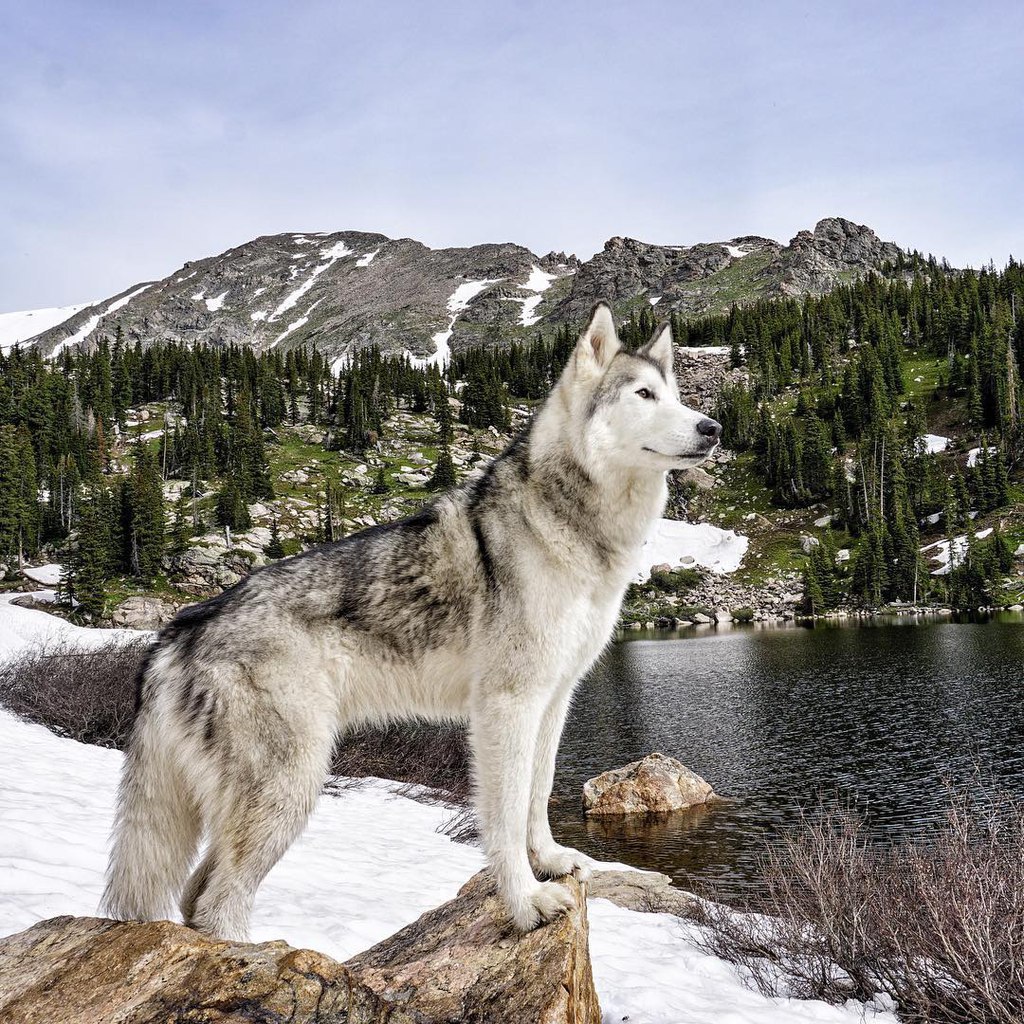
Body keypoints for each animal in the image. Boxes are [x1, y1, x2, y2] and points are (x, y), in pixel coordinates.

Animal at [101, 299, 720, 937]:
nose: (713, 428)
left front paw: (549, 860)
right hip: (291, 786)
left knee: (196, 894)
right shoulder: (507, 704)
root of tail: (179, 629)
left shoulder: (554, 699)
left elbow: (538, 794)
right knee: (217, 901)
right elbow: (503, 817)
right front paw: (526, 902)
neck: (577, 526)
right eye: (644, 394)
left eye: (675, 394)